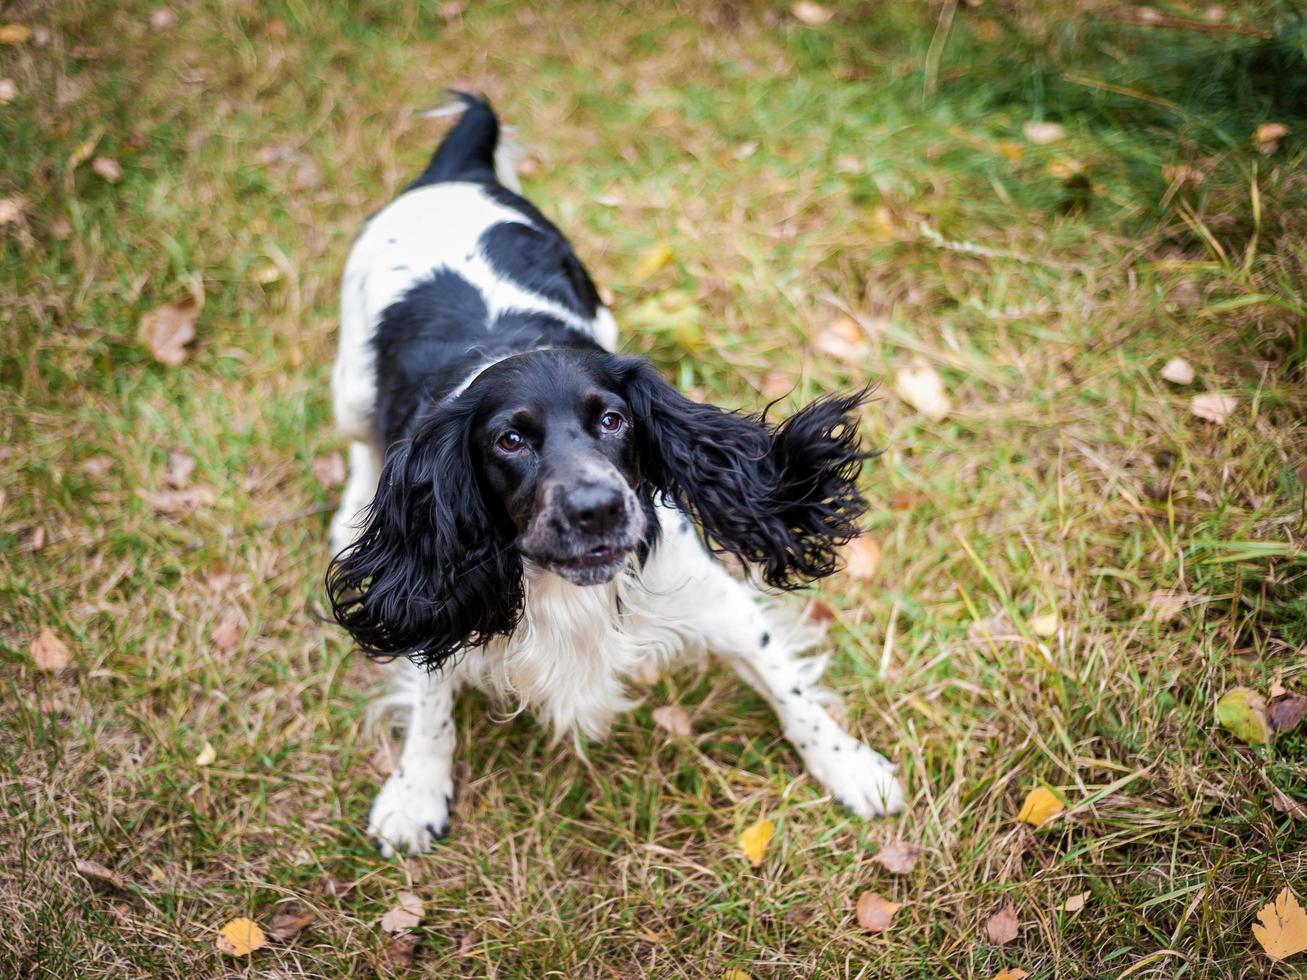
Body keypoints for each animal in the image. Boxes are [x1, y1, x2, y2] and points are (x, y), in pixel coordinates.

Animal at [326, 94, 904, 857]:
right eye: (510, 440)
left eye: (613, 420)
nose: (597, 508)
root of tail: (453, 172)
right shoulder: (438, 594)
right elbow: (431, 701)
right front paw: (415, 791)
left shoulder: (714, 601)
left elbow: (789, 687)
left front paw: (849, 766)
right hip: (349, 382)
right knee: (362, 447)